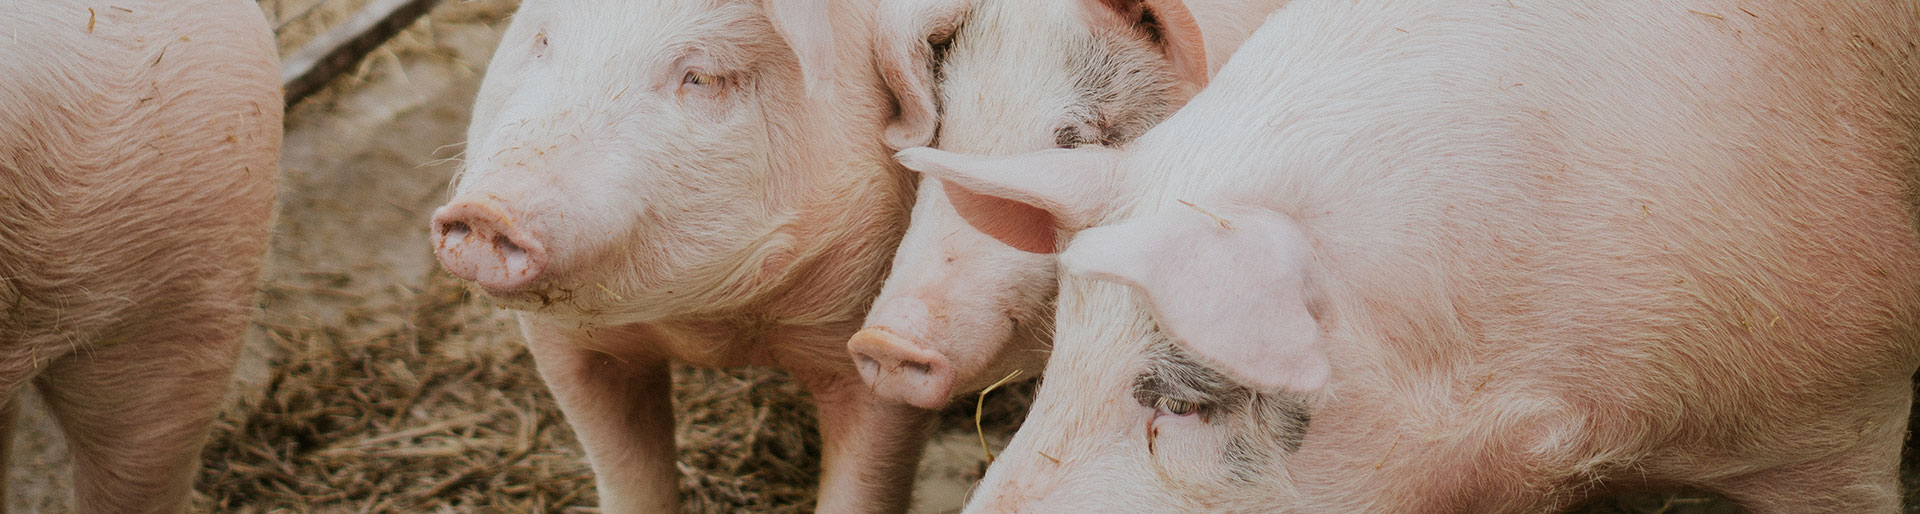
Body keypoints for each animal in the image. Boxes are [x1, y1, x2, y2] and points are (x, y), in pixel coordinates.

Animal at [426, 1, 929, 514]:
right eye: (544, 41)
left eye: (702, 77)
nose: (486, 211)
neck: (707, 326)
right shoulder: (562, 344)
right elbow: (628, 473)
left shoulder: (876, 347)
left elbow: (863, 483)